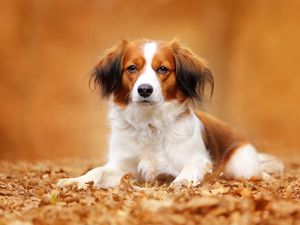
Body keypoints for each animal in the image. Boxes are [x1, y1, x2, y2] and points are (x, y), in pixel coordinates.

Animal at [57, 39, 284, 189]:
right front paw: (75, 180)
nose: (145, 90)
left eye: (163, 69)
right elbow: (97, 170)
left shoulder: (198, 159)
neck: (149, 123)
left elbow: (191, 168)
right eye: (132, 68)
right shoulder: (121, 167)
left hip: (241, 166)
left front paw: (182, 181)